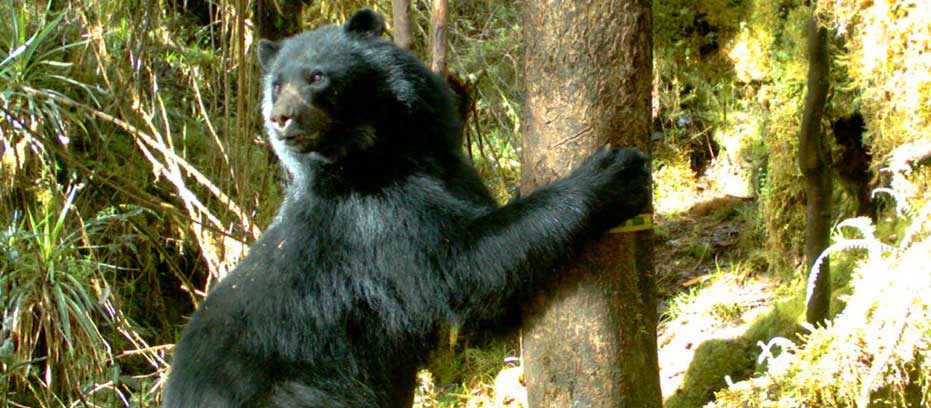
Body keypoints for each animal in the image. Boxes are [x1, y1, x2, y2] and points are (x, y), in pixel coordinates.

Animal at [162, 9, 650, 408]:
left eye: (317, 77)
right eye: (277, 85)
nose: (281, 118)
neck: (381, 152)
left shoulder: (449, 168)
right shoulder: (369, 220)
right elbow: (463, 266)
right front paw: (613, 176)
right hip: (296, 390)